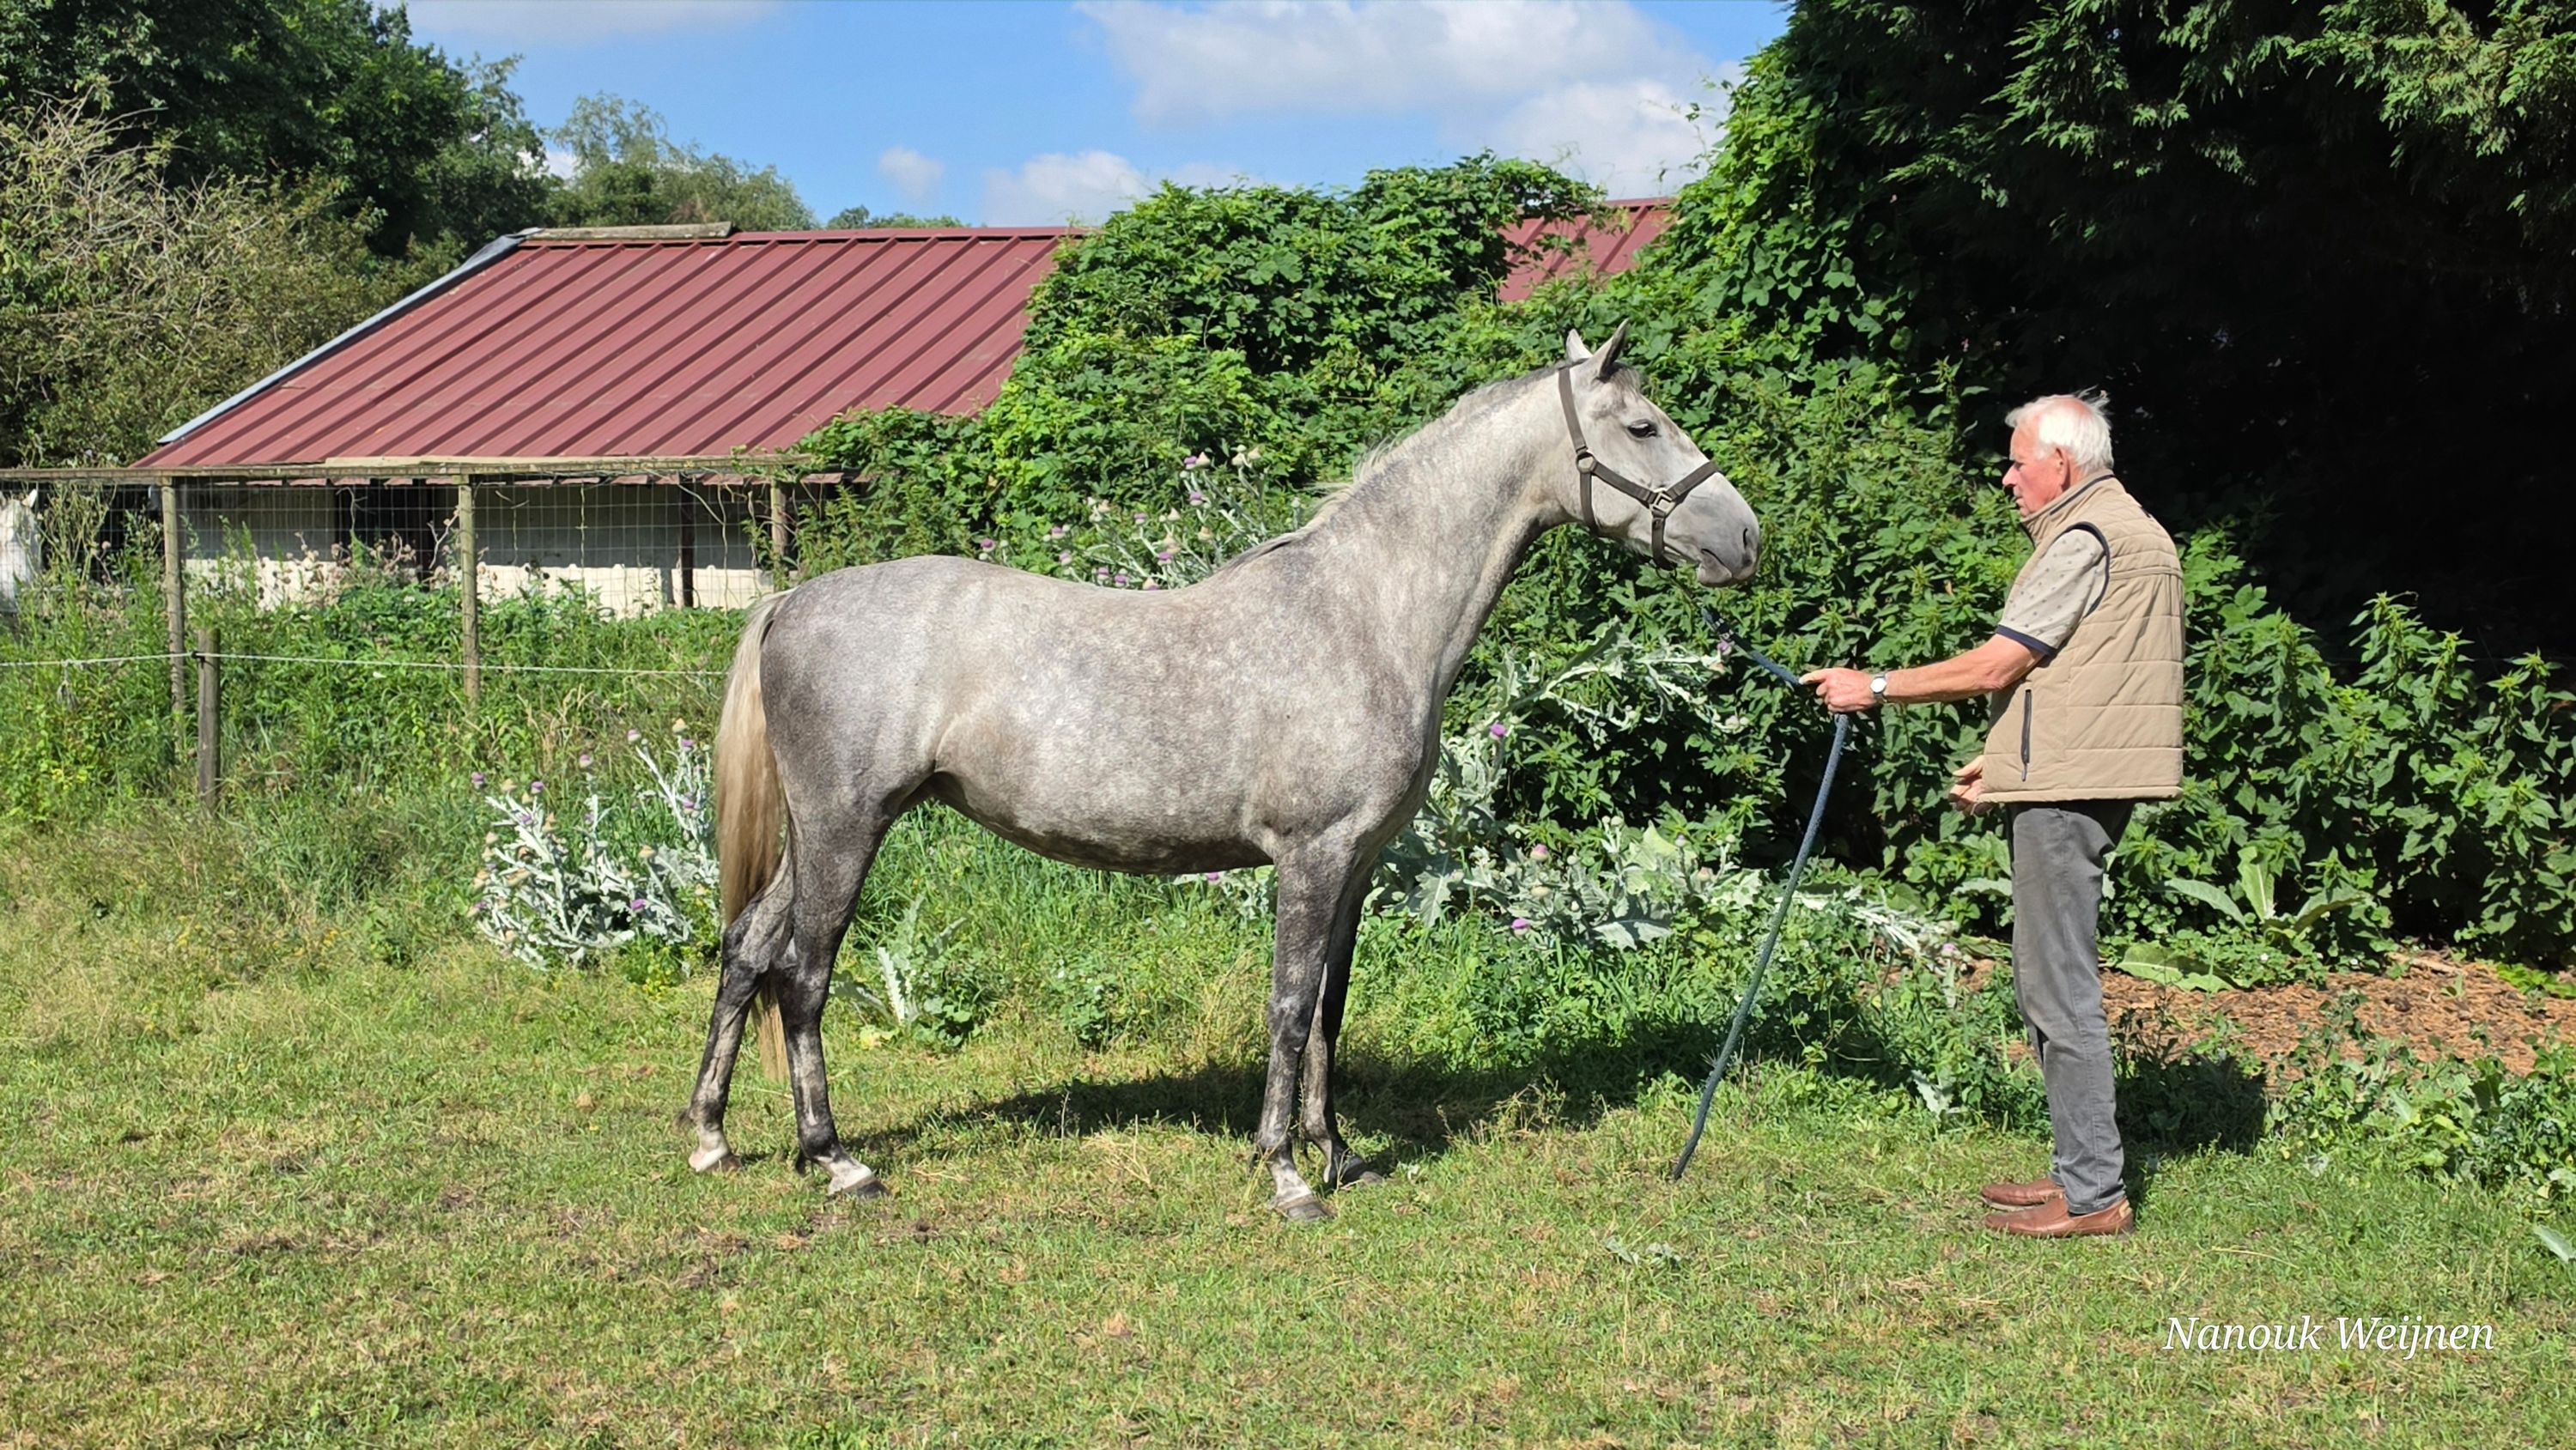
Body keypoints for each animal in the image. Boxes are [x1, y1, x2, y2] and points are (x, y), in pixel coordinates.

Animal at [680, 325, 1761, 1220]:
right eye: (1643, 425)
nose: (1747, 540)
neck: (1365, 615)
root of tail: (790, 602)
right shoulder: (1311, 858)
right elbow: (1285, 1006)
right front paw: (1285, 1175)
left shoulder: (1357, 867)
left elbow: (1329, 1008)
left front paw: (1341, 1156)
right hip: (847, 827)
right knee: (803, 974)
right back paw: (837, 1160)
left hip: (816, 833)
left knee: (748, 948)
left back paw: (712, 1138)